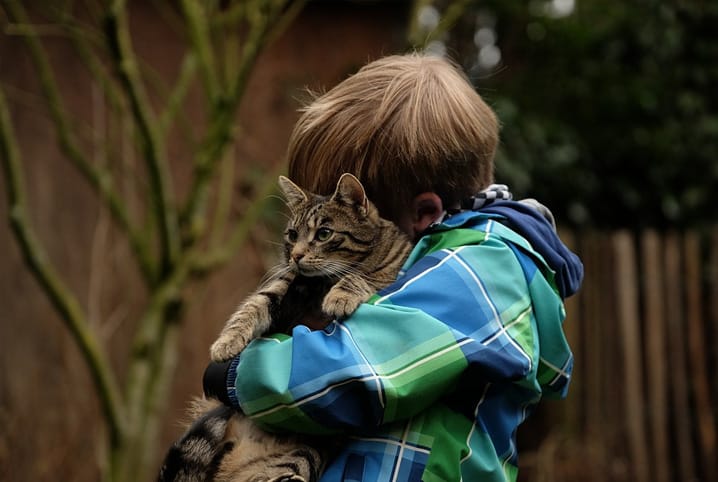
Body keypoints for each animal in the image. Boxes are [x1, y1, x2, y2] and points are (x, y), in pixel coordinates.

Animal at [160, 174, 414, 482]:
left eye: (324, 234)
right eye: (292, 235)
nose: (296, 255)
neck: (321, 283)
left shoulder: (388, 273)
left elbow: (362, 277)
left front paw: (341, 296)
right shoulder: (282, 284)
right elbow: (251, 307)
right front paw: (226, 343)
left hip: (307, 451)